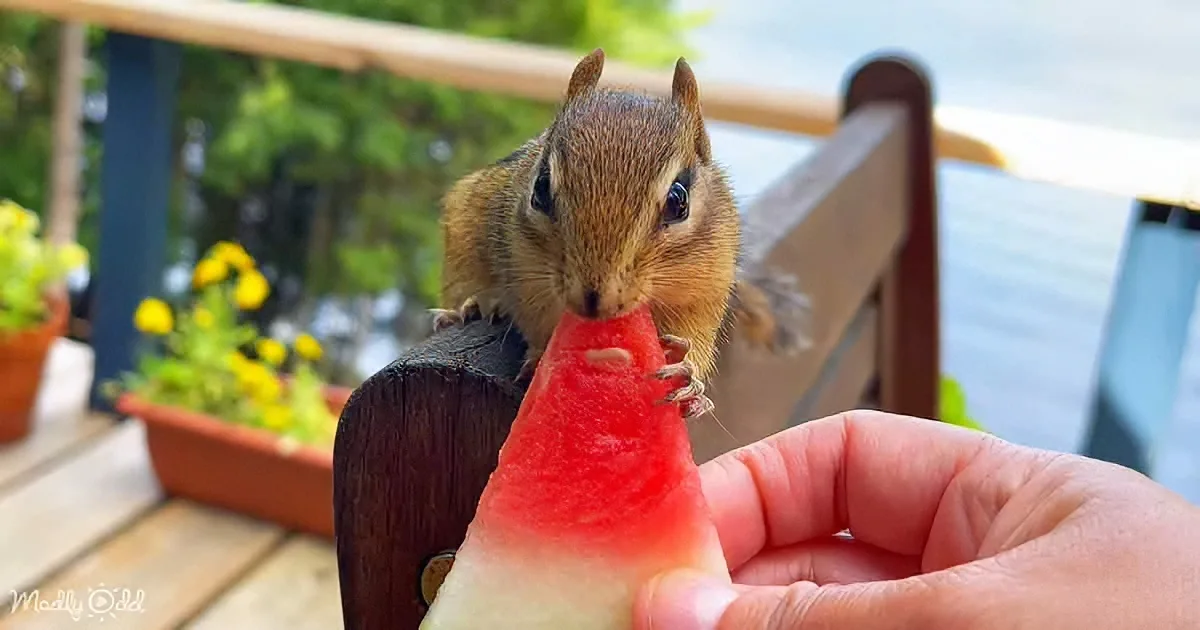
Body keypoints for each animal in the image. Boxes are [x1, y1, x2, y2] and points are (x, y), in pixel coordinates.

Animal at [433, 48, 806, 419]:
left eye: (678, 201)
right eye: (540, 187)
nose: (594, 299)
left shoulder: (706, 290)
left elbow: (697, 340)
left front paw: (688, 374)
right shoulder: (525, 278)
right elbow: (535, 323)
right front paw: (540, 359)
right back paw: (467, 307)